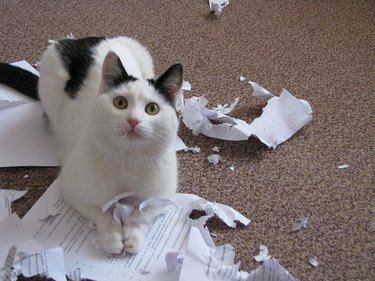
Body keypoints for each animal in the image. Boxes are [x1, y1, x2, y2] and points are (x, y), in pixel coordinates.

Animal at [0, 35, 184, 254]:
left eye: (152, 109)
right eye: (120, 103)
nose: (133, 120)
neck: (127, 159)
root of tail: (84, 40)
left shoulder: (162, 196)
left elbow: (142, 215)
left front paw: (134, 237)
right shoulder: (73, 190)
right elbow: (101, 214)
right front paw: (111, 237)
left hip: (142, 52)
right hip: (50, 78)